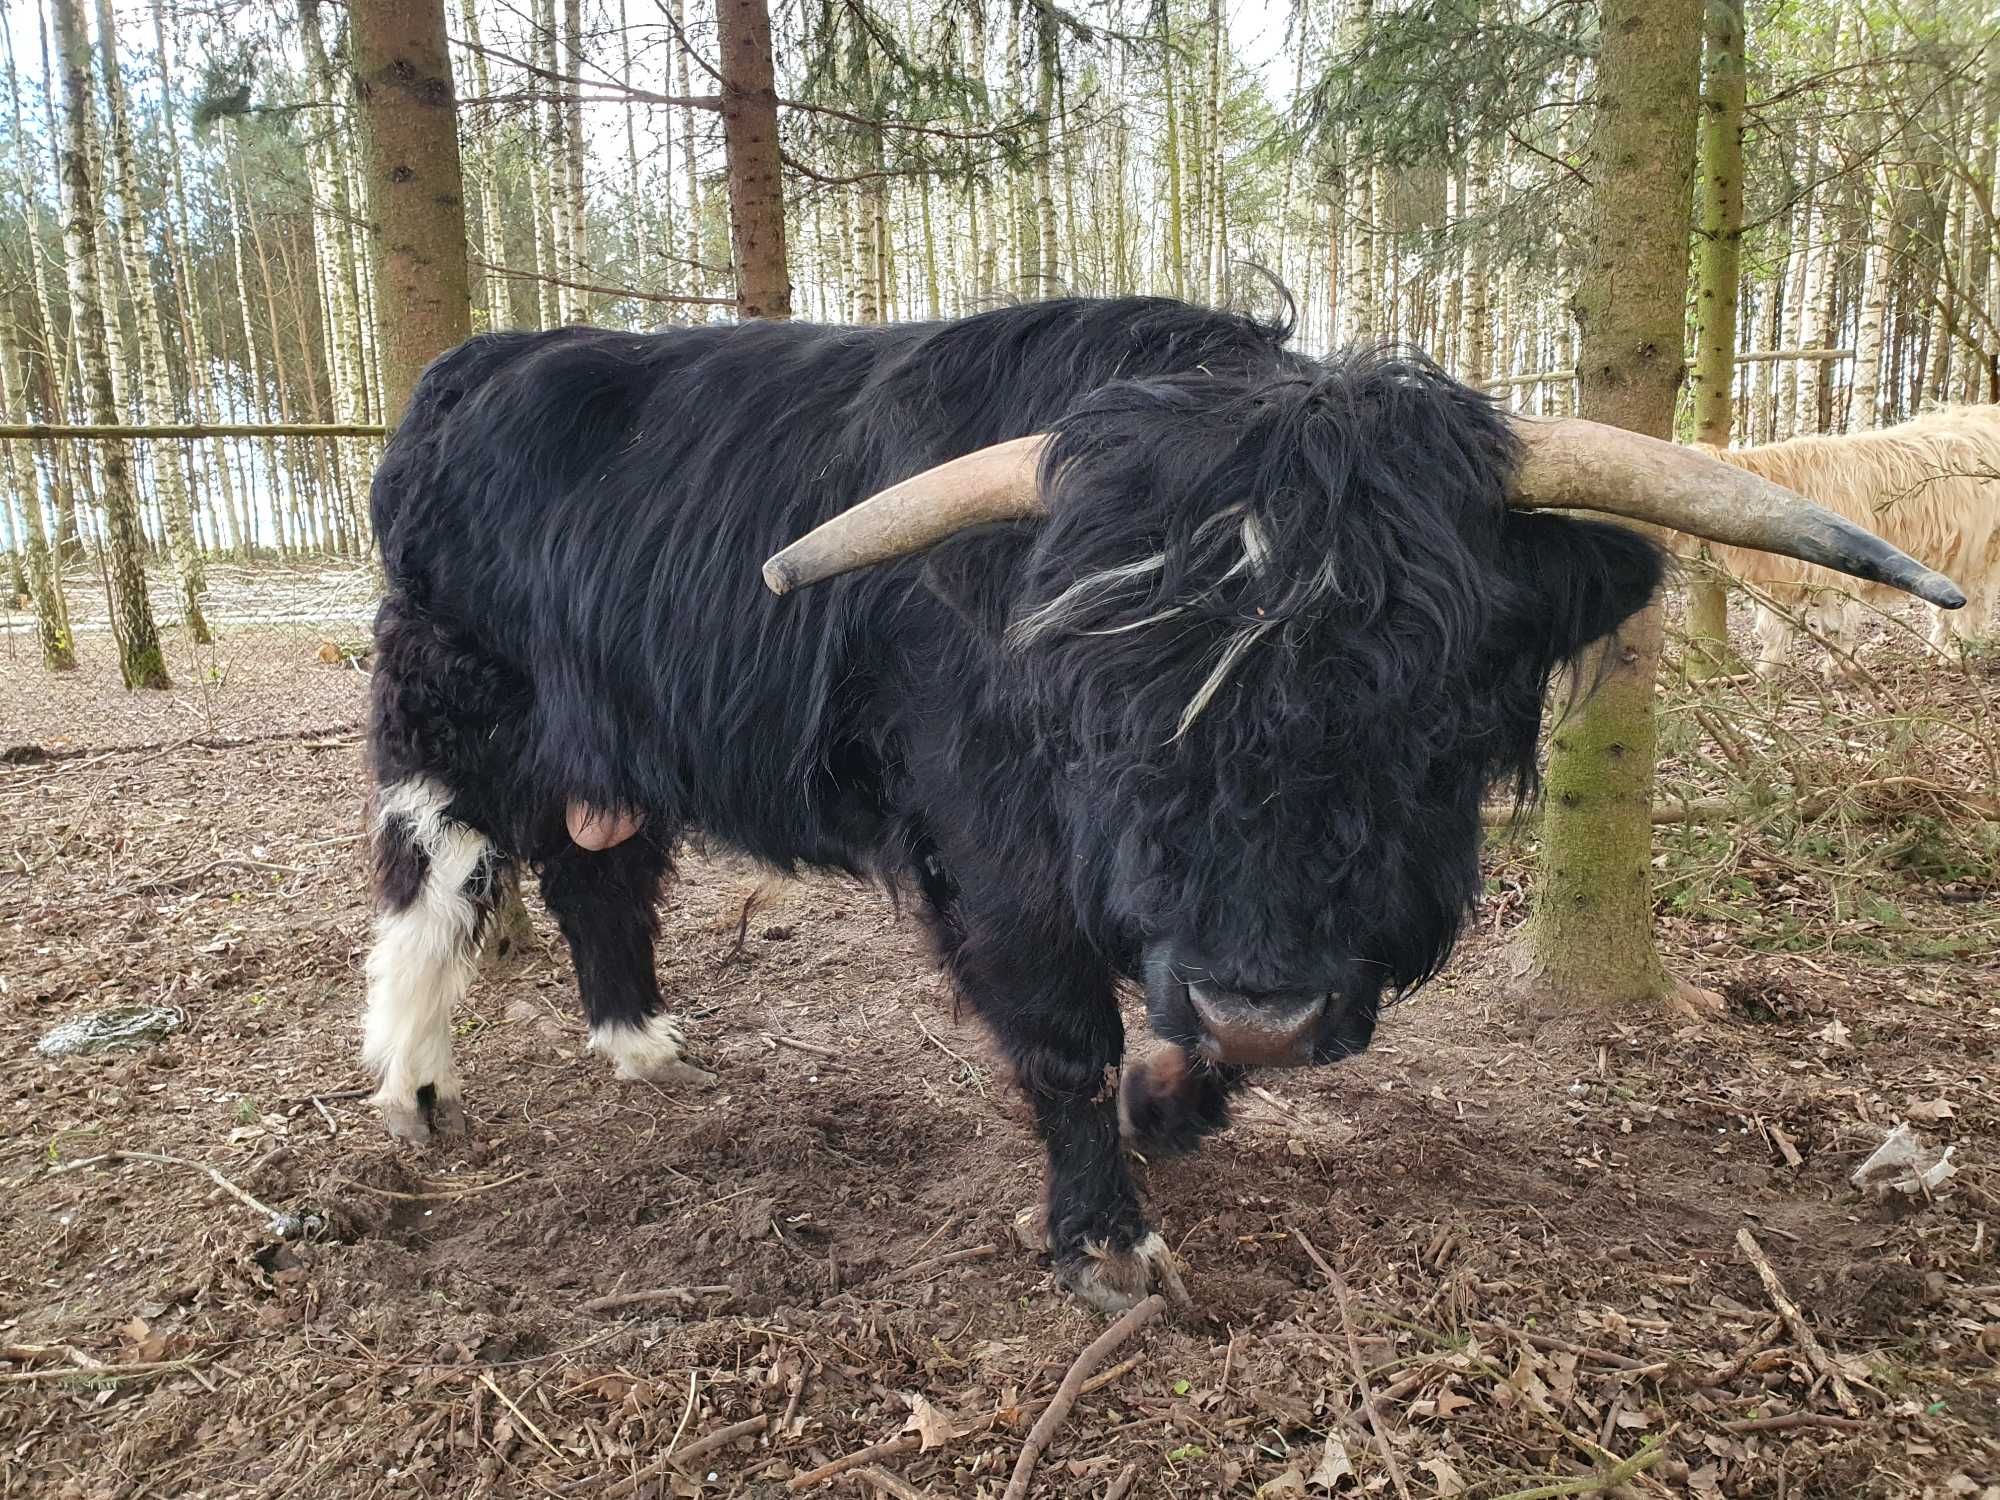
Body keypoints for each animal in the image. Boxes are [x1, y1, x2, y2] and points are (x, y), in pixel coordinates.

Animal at [368, 296, 1960, 1312]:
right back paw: (415, 1086)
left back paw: (639, 1044)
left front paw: (1184, 1102)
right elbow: (1064, 1042)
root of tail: (476, 365)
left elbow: (1171, 1030)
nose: (1269, 1004)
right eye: (1113, 704)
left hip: (607, 740)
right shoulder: (998, 861)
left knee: (599, 867)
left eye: (1433, 717)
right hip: (449, 701)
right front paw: (1106, 1243)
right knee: (429, 876)